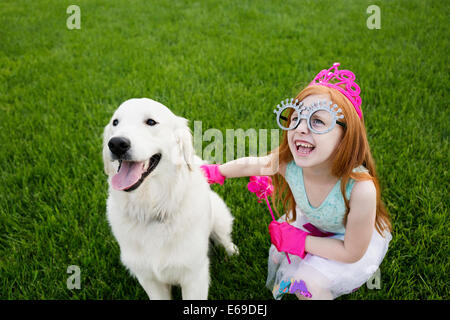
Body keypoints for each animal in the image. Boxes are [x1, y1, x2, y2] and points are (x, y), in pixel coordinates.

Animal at [101, 97, 236, 300]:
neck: (151, 207)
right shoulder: (149, 279)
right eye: (115, 122)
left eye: (150, 122)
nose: (116, 143)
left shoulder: (194, 277)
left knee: (224, 237)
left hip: (219, 216)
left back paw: (232, 252)